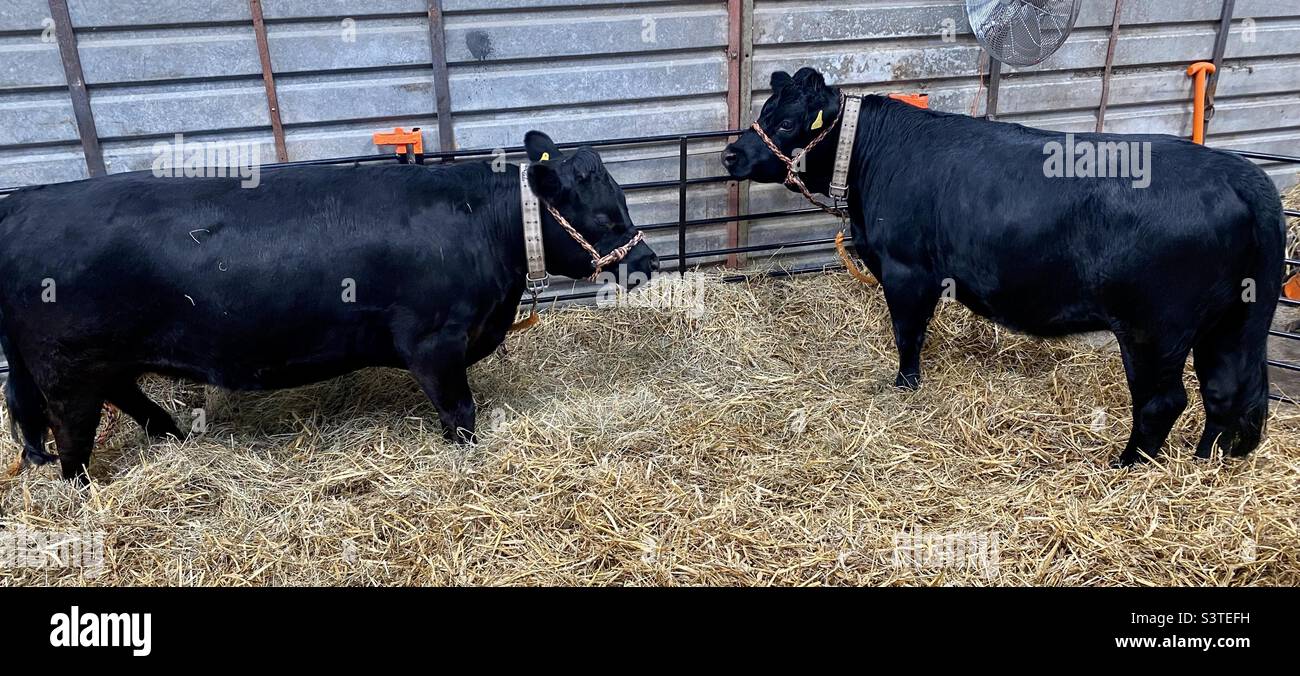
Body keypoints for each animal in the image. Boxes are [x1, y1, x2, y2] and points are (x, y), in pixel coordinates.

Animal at [0, 131, 658, 483]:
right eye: (606, 217)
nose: (648, 261)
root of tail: (24, 201)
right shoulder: (434, 343)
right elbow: (460, 413)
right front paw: (469, 455)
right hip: (66, 369)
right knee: (71, 433)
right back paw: (85, 485)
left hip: (99, 360)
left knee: (120, 397)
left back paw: (173, 435)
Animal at [723, 67, 1286, 467]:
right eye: (765, 109)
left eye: (787, 122)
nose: (730, 154)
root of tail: (1242, 175)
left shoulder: (906, 271)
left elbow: (908, 334)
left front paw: (904, 385)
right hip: (1229, 322)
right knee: (1226, 390)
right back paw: (1205, 462)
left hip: (1155, 328)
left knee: (1164, 401)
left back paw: (1125, 465)